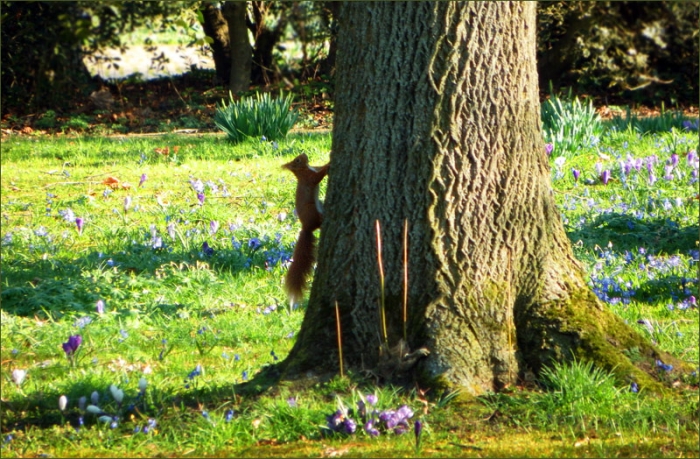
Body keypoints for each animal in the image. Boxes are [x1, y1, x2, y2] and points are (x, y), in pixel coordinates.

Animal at [282, 153, 330, 304]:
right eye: (297, 160)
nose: (304, 154)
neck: (304, 170)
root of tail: (306, 227)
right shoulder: (309, 178)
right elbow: (318, 176)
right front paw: (329, 165)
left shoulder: (313, 168)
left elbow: (319, 168)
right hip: (311, 210)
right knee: (319, 223)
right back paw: (323, 217)